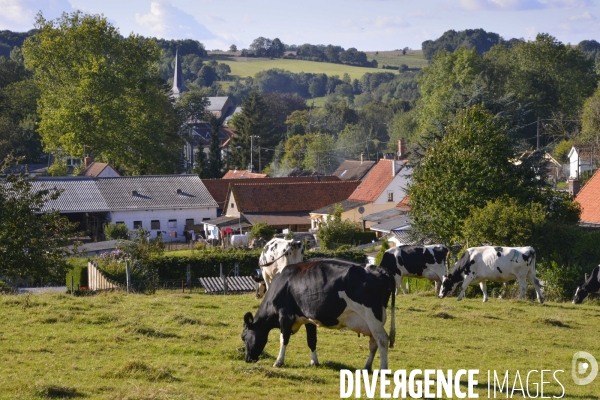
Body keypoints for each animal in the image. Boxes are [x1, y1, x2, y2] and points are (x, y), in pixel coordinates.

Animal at [239, 258, 398, 370]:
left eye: (244, 337)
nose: (247, 359)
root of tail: (379, 269)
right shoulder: (308, 319)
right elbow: (311, 340)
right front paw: (314, 362)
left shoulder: (285, 316)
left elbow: (283, 339)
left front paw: (278, 362)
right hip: (373, 320)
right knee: (373, 343)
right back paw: (367, 367)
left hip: (372, 316)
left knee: (382, 340)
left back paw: (383, 368)